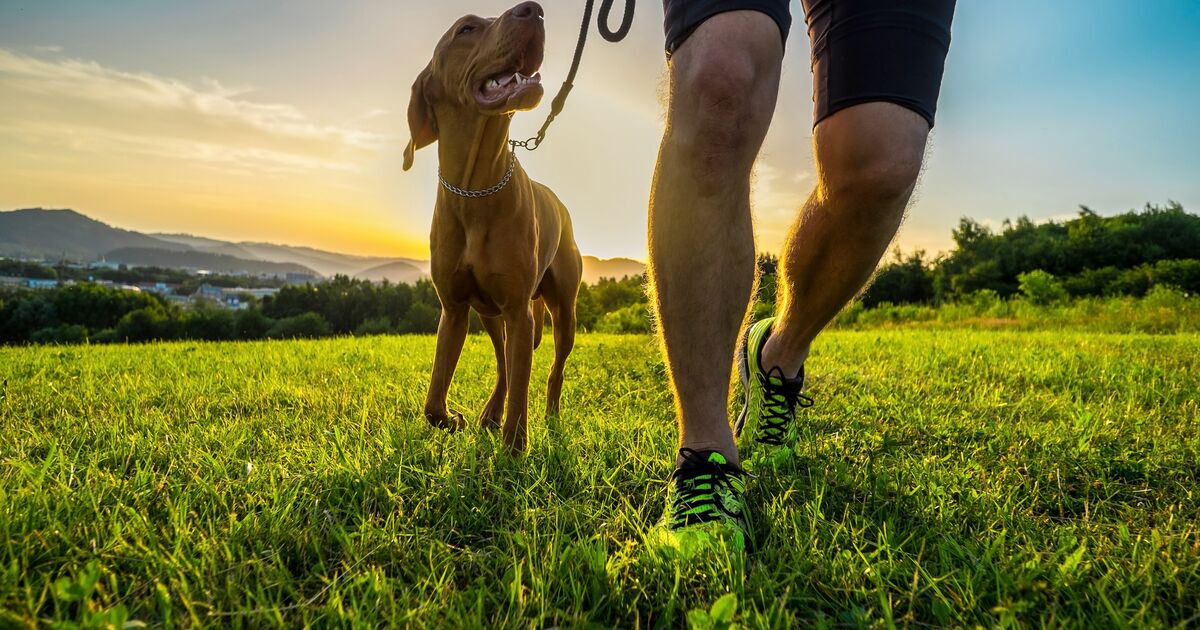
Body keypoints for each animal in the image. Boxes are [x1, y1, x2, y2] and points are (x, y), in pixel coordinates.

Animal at [403, 1, 580, 451]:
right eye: (466, 29)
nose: (534, 10)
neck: (475, 188)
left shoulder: (519, 309)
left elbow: (522, 389)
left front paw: (515, 448)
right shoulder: (454, 309)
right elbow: (432, 401)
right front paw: (454, 419)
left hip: (562, 311)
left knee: (551, 369)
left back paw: (550, 415)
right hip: (490, 314)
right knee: (504, 365)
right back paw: (489, 413)